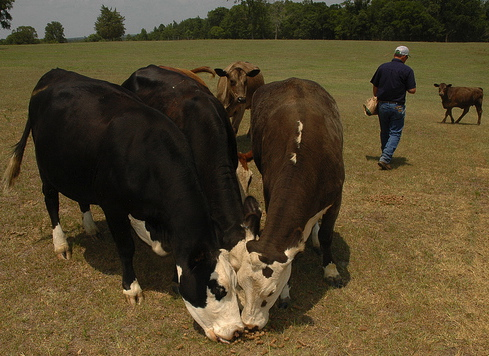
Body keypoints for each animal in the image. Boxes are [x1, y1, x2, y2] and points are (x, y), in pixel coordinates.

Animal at [5, 68, 244, 344]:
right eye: (217, 288)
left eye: (236, 284)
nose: (237, 330)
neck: (146, 154)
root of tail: (53, 74)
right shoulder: (113, 207)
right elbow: (126, 248)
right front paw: (132, 289)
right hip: (46, 169)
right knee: (51, 202)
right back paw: (61, 245)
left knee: (82, 198)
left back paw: (90, 228)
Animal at [236, 78, 344, 330]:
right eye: (240, 286)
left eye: (269, 292)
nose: (250, 324)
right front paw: (287, 293)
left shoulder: (336, 198)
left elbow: (327, 236)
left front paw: (331, 269)